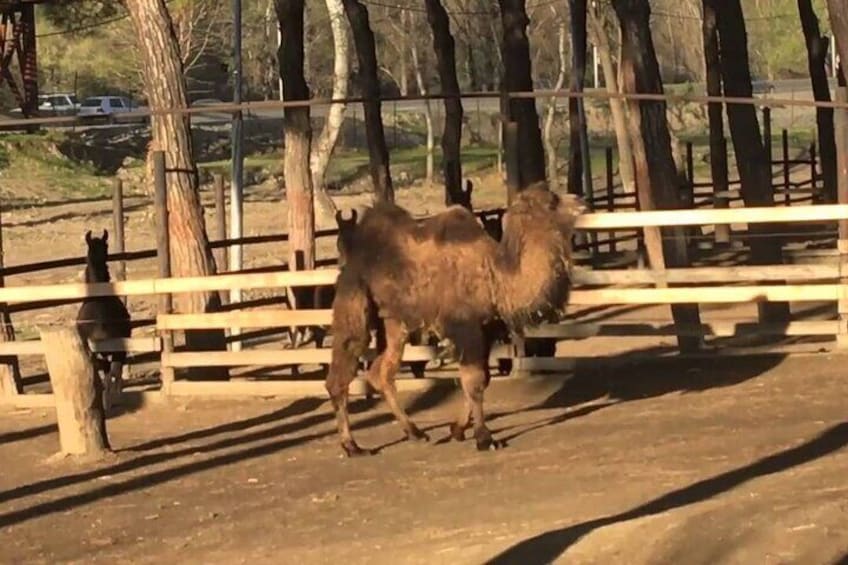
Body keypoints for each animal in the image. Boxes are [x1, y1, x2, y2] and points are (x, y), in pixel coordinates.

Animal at [322, 183, 584, 456]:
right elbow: (474, 381)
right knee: (344, 363)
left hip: (395, 319)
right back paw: (352, 445)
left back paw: (415, 433)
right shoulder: (465, 327)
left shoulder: (486, 328)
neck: (495, 275)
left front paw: (457, 429)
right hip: (355, 294)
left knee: (382, 371)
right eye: (552, 201)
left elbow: (482, 379)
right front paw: (485, 438)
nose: (580, 201)